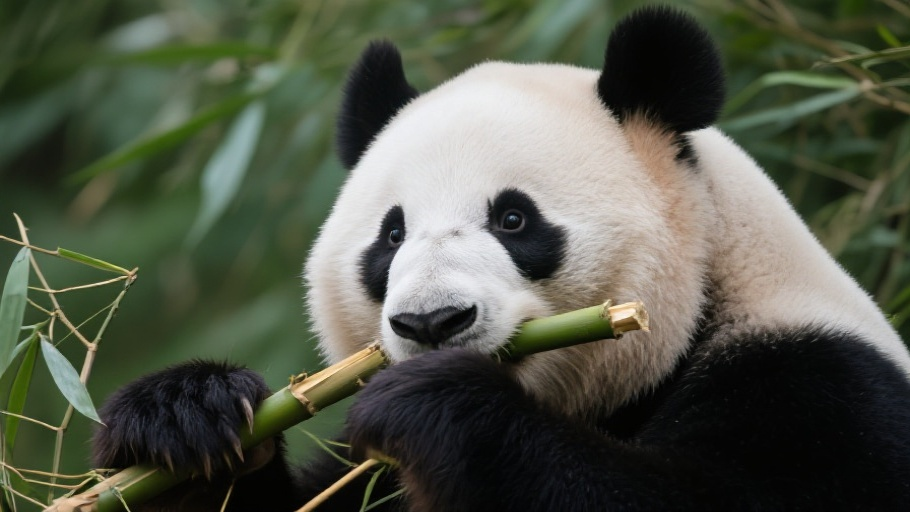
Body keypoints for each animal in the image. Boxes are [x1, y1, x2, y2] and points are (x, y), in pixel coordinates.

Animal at [93, 6, 910, 511]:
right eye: (391, 236)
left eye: (514, 219)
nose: (432, 325)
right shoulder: (369, 479)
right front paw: (181, 416)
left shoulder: (820, 393)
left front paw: (437, 404)